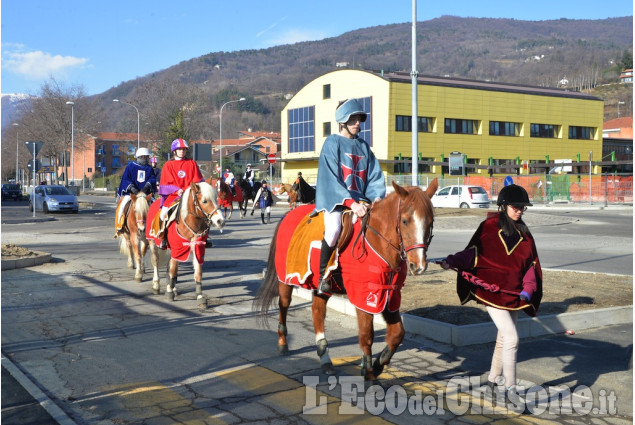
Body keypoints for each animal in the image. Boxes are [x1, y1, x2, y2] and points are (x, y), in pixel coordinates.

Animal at [253, 181, 438, 380]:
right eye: (404, 221)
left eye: (431, 222)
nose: (418, 266)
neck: (377, 241)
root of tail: (289, 215)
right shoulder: (365, 296)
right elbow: (366, 336)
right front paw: (369, 373)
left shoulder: (389, 294)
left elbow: (397, 334)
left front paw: (378, 364)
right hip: (285, 280)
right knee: (284, 305)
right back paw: (282, 341)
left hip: (322, 288)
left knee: (317, 312)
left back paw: (325, 358)